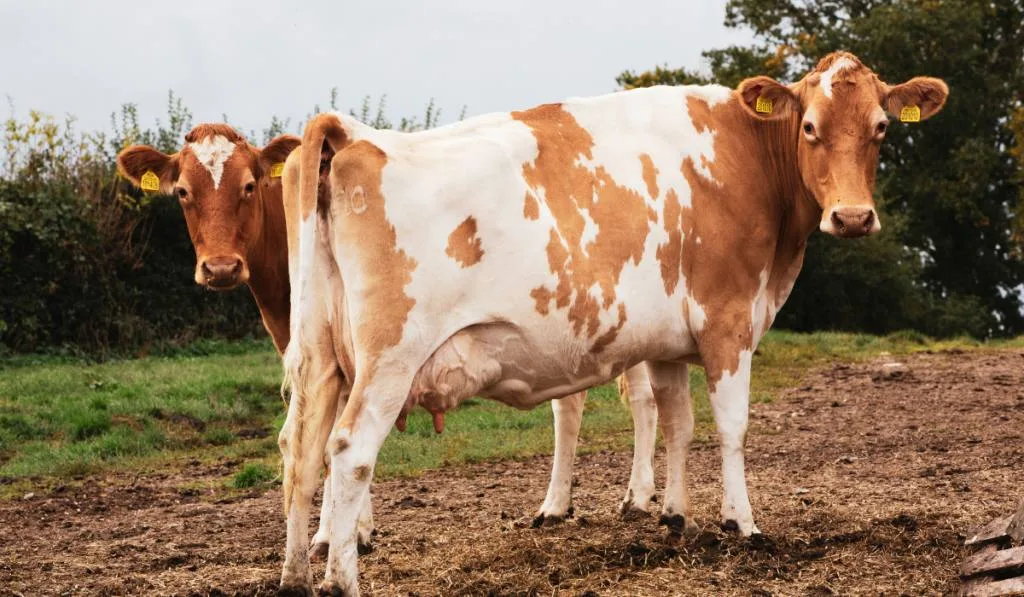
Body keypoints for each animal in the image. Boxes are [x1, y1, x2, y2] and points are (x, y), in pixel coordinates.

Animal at [116, 125, 659, 561]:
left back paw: (639, 495)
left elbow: (336, 446)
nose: (222, 267)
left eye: (249, 186)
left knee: (642, 400)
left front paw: (343, 534)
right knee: (569, 406)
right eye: (182, 192)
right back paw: (555, 505)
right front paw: (345, 532)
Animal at [282, 53, 950, 593]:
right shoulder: (728, 320)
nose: (853, 217)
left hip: (322, 357)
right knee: (349, 451)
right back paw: (342, 580)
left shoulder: (669, 340)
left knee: (301, 450)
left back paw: (296, 576)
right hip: (389, 359)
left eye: (881, 128)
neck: (745, 157)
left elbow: (678, 423)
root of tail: (357, 138)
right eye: (810, 127)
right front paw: (743, 523)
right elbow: (731, 427)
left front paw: (676, 516)